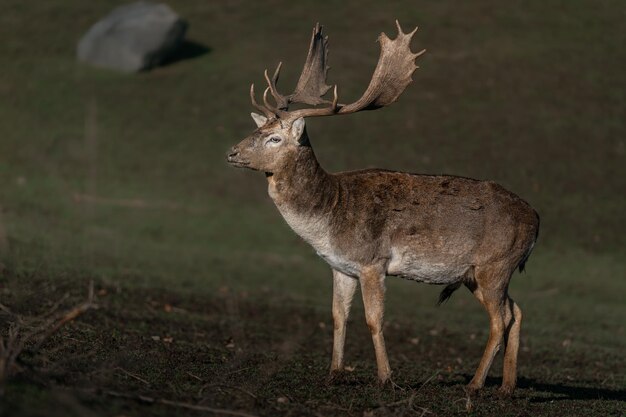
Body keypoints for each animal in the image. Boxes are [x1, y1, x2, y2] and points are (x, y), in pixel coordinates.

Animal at [227, 20, 540, 396]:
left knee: (500, 318)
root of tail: (537, 221)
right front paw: (333, 373)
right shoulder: (341, 266)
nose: (231, 152)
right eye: (259, 128)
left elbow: (374, 320)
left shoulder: (372, 261)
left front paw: (386, 378)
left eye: (274, 138)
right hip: (477, 274)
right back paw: (507, 387)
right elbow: (338, 316)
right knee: (516, 311)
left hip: (495, 264)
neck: (329, 215)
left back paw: (475, 384)